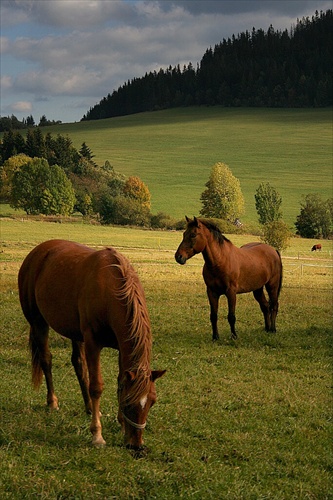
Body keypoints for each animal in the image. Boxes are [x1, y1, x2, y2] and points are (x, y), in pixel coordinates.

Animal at [16, 238, 165, 450]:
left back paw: (88, 407)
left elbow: (119, 382)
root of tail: (37, 252)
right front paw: (97, 435)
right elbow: (96, 386)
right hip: (38, 323)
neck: (110, 290)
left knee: (78, 364)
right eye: (129, 403)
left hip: (74, 332)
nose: (136, 445)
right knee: (46, 360)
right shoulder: (93, 343)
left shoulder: (121, 348)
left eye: (152, 402)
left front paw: (120, 424)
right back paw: (52, 402)